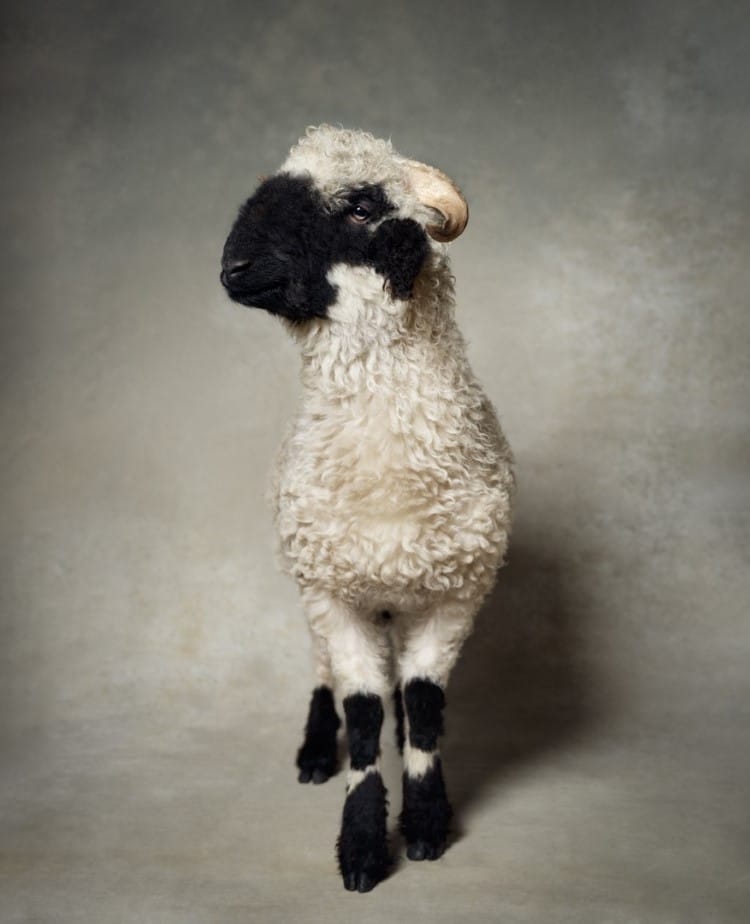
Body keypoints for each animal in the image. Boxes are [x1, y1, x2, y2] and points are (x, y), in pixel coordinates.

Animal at [220, 125, 514, 892]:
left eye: (359, 206)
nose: (233, 267)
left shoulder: (456, 596)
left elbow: (424, 703)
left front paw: (426, 824)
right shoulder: (334, 593)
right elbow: (360, 713)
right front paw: (359, 846)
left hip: (402, 602)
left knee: (401, 694)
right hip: (316, 587)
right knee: (328, 677)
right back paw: (313, 756)